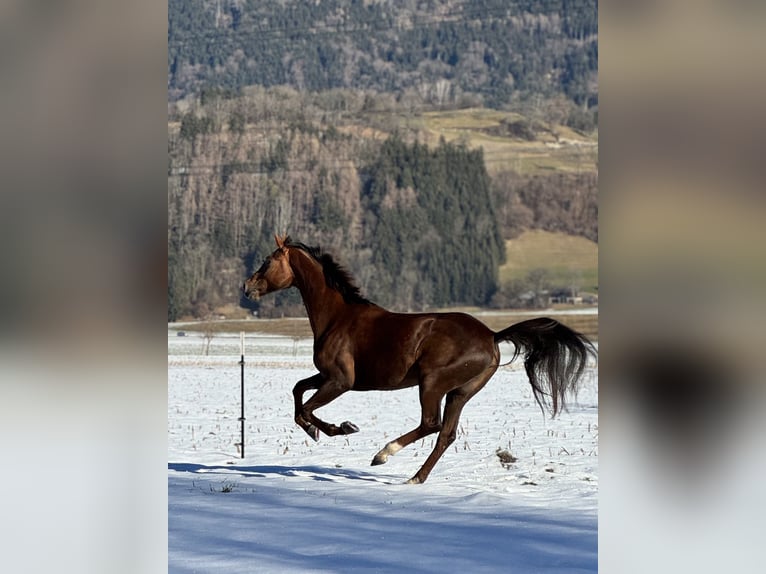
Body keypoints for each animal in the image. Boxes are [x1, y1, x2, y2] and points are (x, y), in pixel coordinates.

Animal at [243, 235, 596, 484]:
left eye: (267, 261)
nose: (247, 287)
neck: (337, 317)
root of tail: (492, 336)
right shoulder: (327, 377)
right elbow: (297, 391)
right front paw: (317, 430)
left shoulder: (341, 381)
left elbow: (305, 407)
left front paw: (339, 428)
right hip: (460, 392)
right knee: (446, 434)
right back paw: (415, 478)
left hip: (431, 384)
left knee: (431, 423)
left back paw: (383, 455)